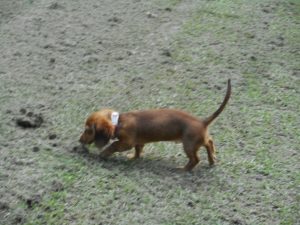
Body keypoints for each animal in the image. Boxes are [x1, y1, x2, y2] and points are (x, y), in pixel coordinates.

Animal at [79, 79, 232, 171]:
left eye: (88, 130)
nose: (79, 141)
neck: (119, 122)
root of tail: (202, 121)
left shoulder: (126, 143)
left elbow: (114, 145)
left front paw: (104, 153)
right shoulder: (138, 142)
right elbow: (138, 150)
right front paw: (133, 158)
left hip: (188, 145)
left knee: (195, 159)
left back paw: (183, 169)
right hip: (199, 141)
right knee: (209, 142)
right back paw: (212, 159)